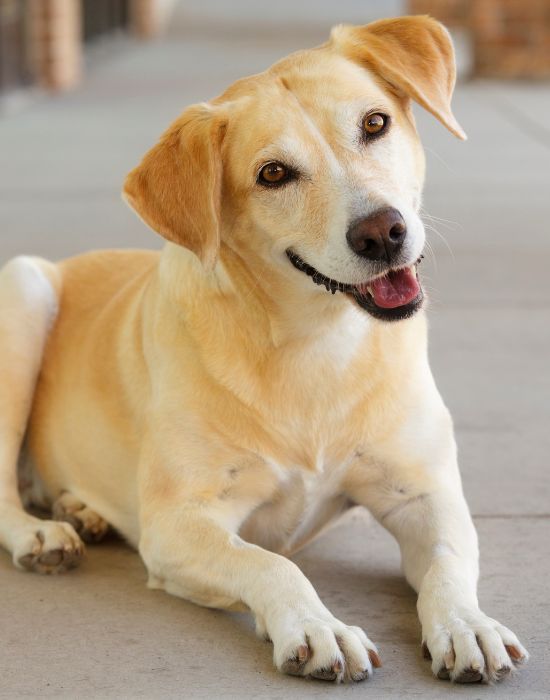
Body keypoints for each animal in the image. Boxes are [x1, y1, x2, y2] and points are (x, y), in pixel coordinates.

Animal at [0, 15, 532, 684]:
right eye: (273, 174)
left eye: (374, 123)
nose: (383, 233)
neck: (316, 345)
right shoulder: (175, 527)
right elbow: (272, 564)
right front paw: (318, 626)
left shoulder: (427, 497)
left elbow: (447, 566)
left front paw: (466, 625)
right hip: (23, 289)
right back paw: (39, 534)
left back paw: (83, 509)